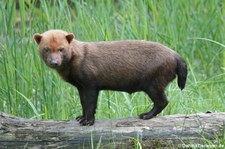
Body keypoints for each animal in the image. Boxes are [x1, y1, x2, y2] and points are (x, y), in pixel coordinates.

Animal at [33, 29, 188, 126]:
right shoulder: (80, 86)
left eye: (61, 48)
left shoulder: (90, 84)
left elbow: (90, 104)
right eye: (46, 49)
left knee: (163, 101)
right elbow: (83, 103)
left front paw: (87, 122)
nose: (54, 62)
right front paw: (80, 117)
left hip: (153, 84)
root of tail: (176, 55)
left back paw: (145, 115)